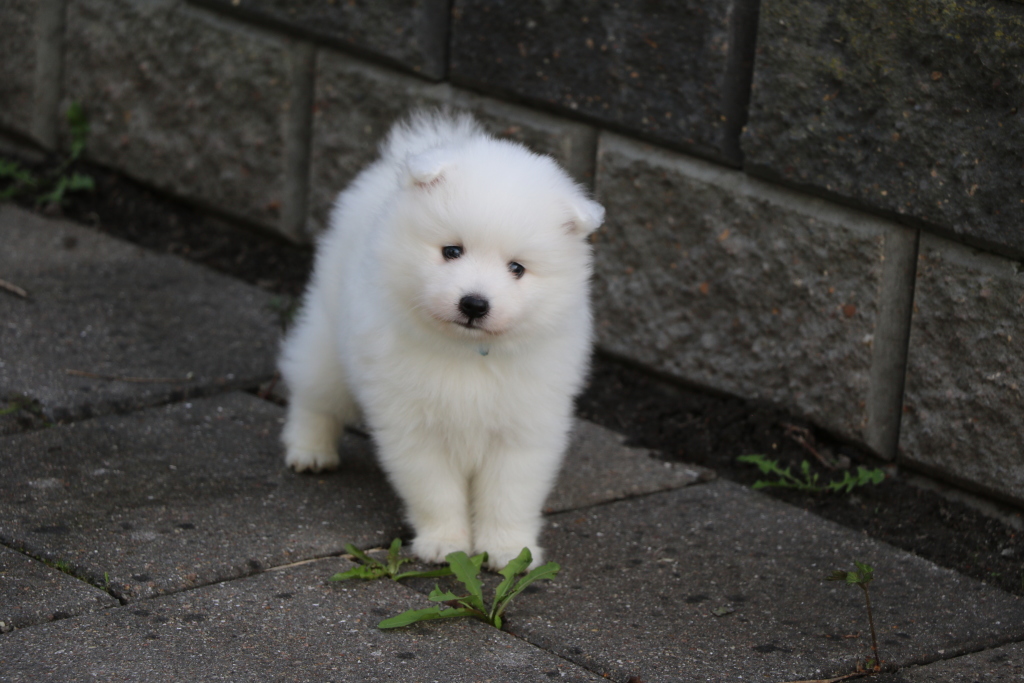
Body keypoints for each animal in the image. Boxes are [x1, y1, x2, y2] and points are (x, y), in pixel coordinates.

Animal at [278, 111, 604, 569]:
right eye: (452, 251)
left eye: (517, 269)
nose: (474, 304)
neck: (467, 352)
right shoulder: (414, 425)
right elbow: (434, 490)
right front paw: (444, 543)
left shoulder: (524, 427)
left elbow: (509, 495)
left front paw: (508, 550)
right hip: (328, 335)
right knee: (313, 390)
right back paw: (310, 451)